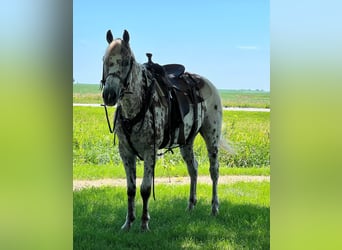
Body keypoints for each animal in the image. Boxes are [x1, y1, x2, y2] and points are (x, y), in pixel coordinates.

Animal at [101, 29, 224, 230]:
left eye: (126, 61)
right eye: (105, 60)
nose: (109, 95)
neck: (136, 105)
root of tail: (206, 83)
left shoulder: (149, 151)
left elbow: (145, 189)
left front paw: (144, 224)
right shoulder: (125, 152)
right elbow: (130, 189)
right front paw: (128, 223)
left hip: (212, 138)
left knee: (214, 171)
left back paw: (214, 208)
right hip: (186, 142)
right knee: (193, 169)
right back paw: (191, 205)